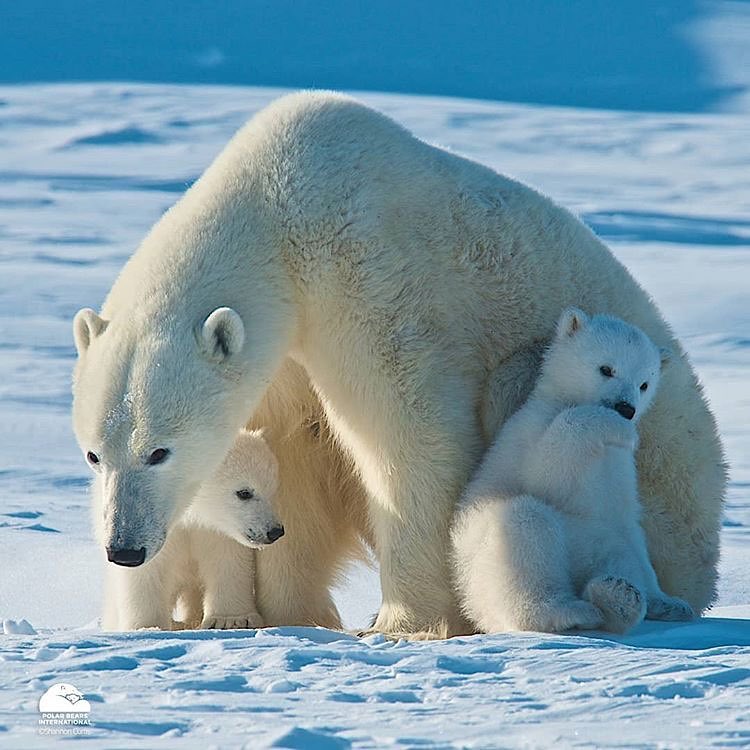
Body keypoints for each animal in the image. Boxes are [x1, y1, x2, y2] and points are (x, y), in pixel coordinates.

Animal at [98, 426, 286, 632]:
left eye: (272, 489)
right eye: (244, 493)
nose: (275, 531)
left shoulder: (217, 531)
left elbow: (226, 561)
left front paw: (231, 620)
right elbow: (147, 570)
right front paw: (147, 627)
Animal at [450, 310, 696, 636]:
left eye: (644, 383)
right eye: (606, 369)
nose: (625, 408)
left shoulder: (620, 478)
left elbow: (632, 528)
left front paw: (669, 601)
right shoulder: (528, 431)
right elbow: (548, 471)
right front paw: (621, 431)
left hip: (599, 541)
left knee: (623, 558)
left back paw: (622, 598)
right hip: (484, 549)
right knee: (526, 524)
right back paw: (570, 611)